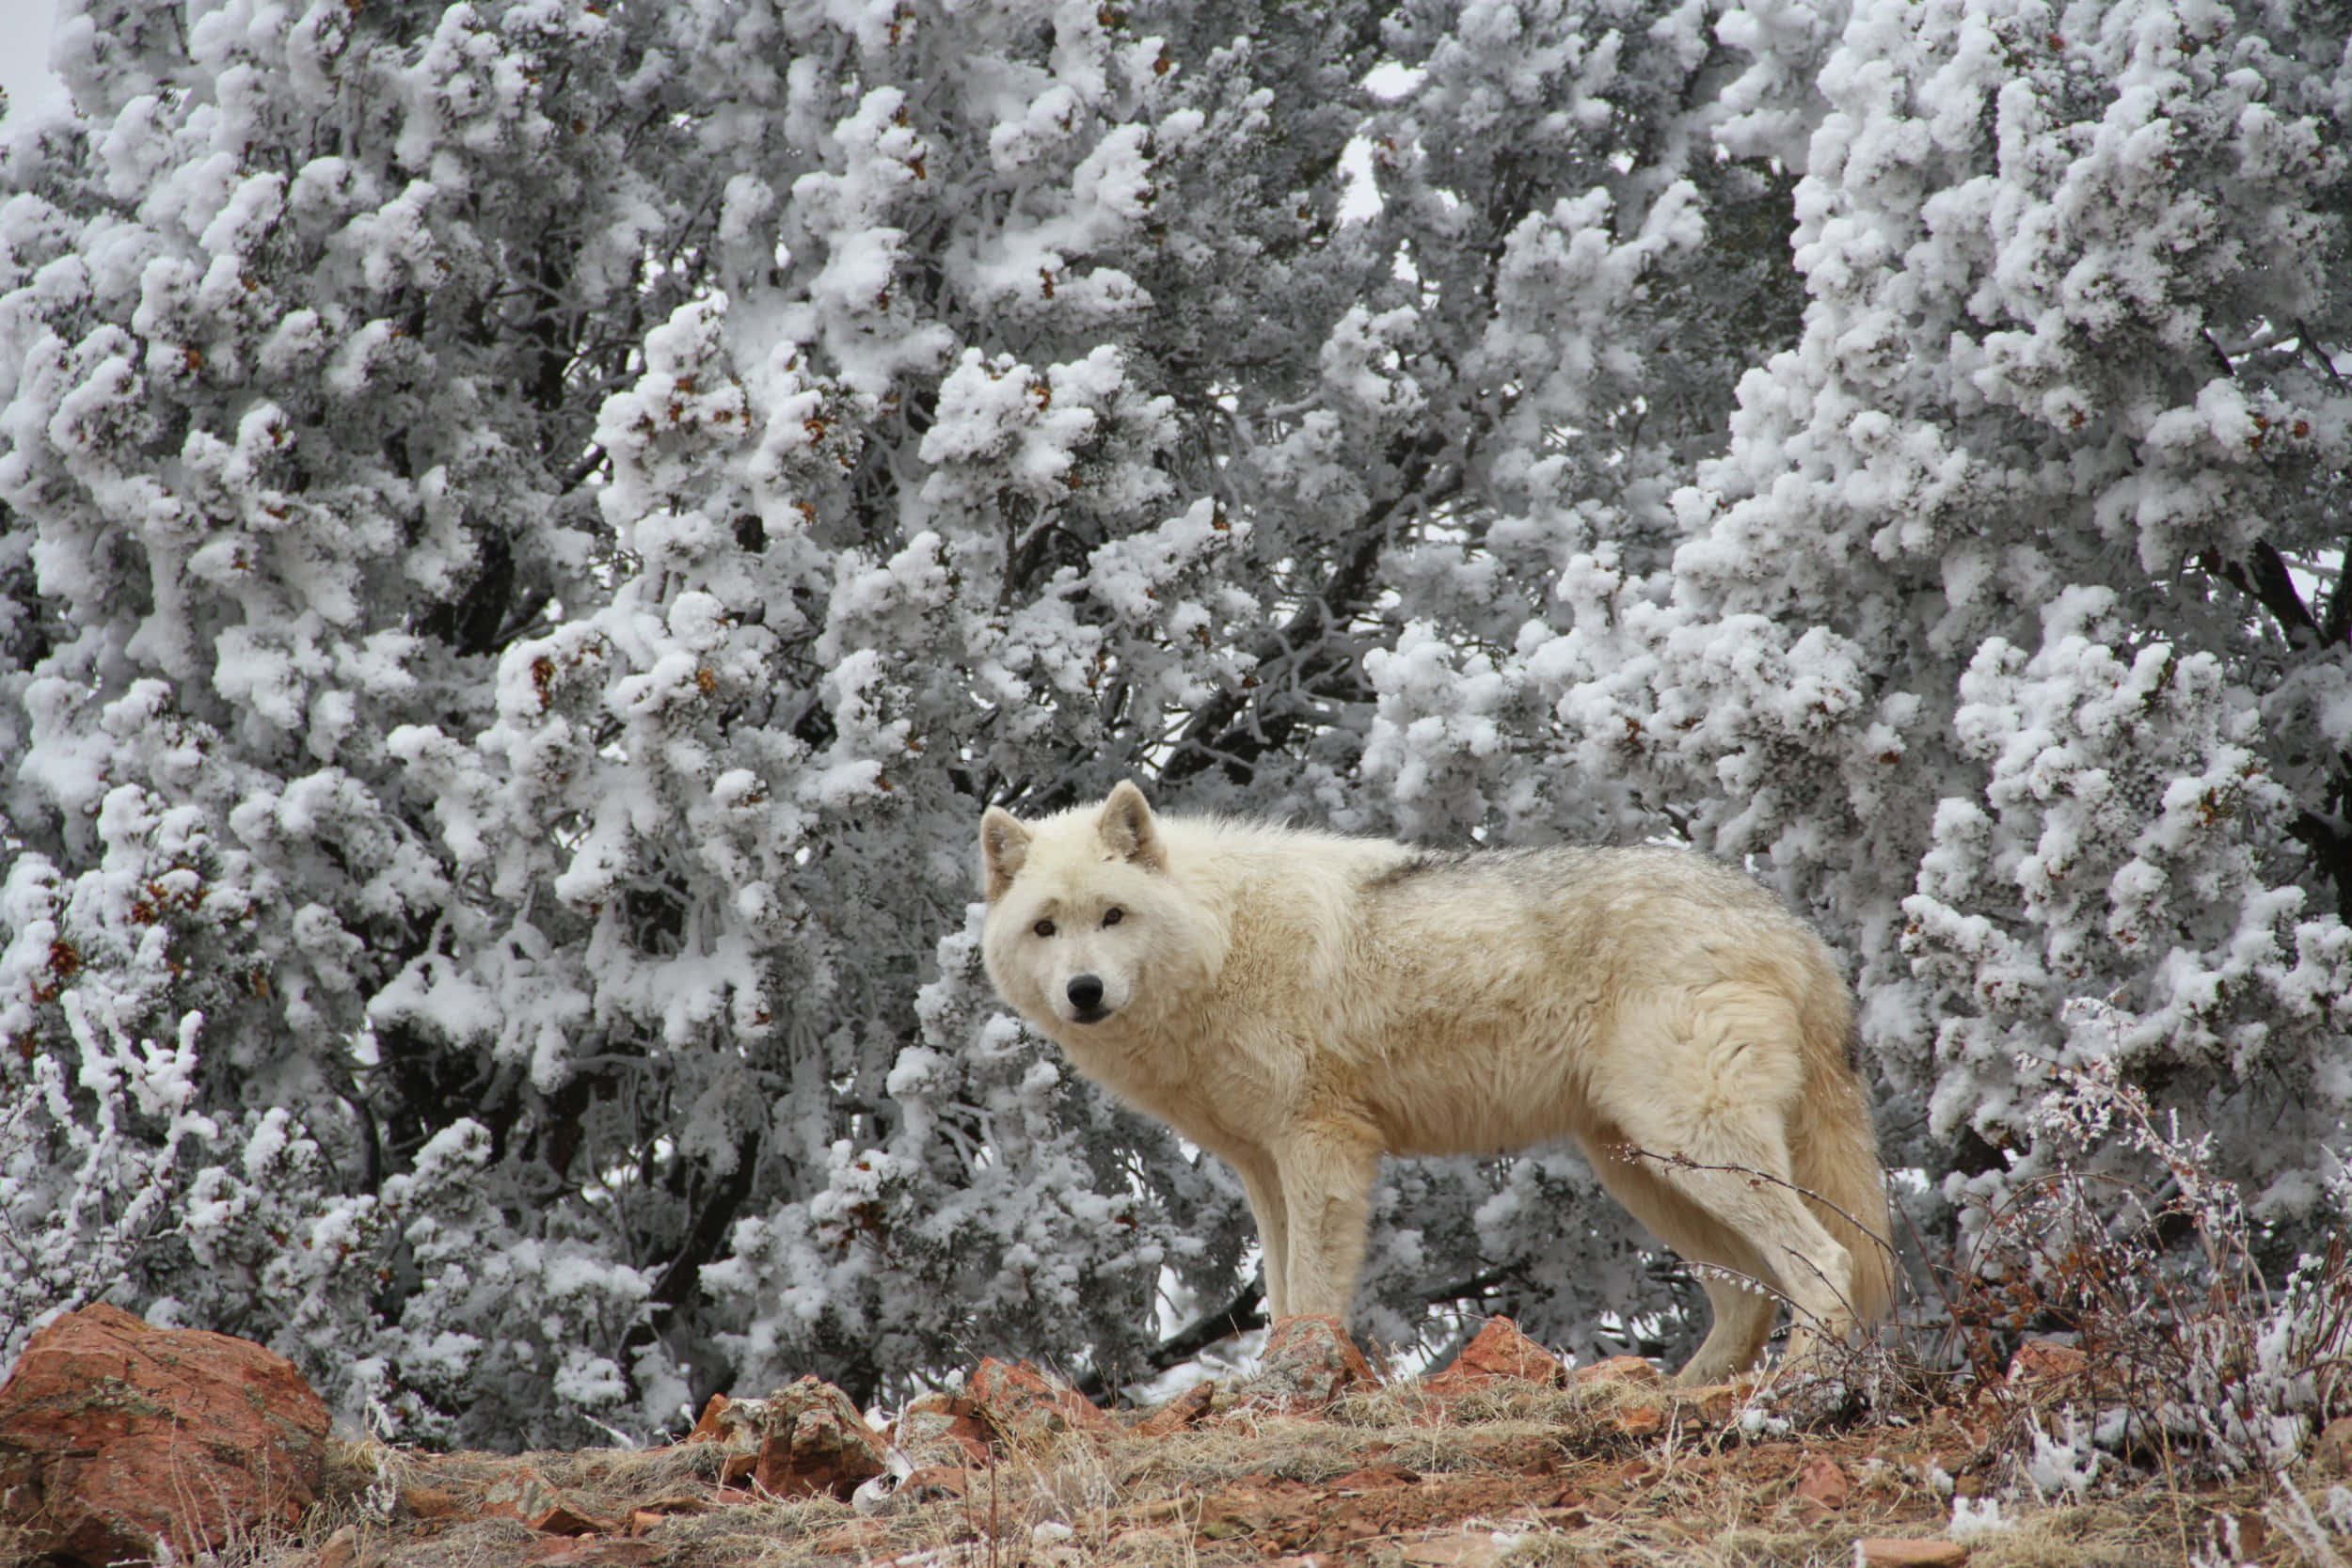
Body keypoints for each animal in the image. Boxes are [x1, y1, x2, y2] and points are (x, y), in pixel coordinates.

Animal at [977, 781, 1894, 1383]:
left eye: (1113, 915)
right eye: (1045, 927)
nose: (1084, 991)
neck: (1221, 938)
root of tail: (1793, 927)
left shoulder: (1323, 1146)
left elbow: (1312, 1294)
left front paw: (1289, 1388)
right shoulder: (1263, 1166)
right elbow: (1282, 1289)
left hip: (1689, 1151)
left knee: (1825, 1259)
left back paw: (1798, 1388)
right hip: (1647, 1171)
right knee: (1748, 1299)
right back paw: (1681, 1396)